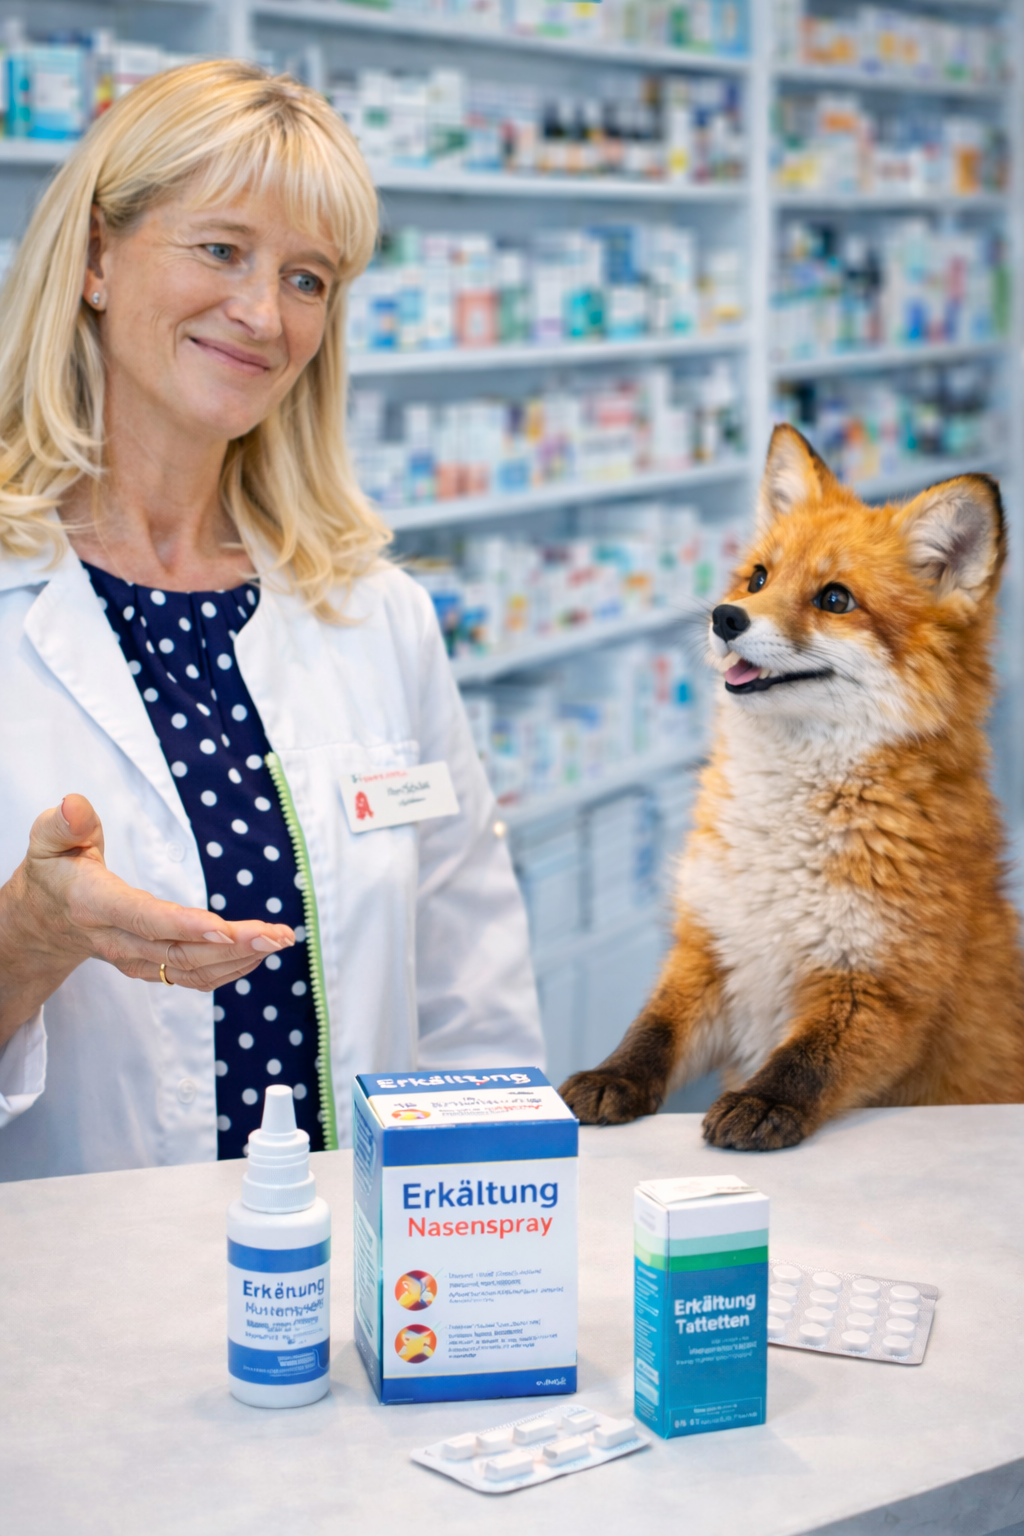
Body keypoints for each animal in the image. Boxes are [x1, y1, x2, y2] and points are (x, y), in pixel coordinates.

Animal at [560, 423, 1024, 1150]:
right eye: (759, 578)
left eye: (835, 599)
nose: (725, 617)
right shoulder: (712, 949)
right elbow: (652, 1030)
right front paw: (615, 1077)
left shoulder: (882, 988)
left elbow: (805, 1062)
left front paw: (762, 1104)